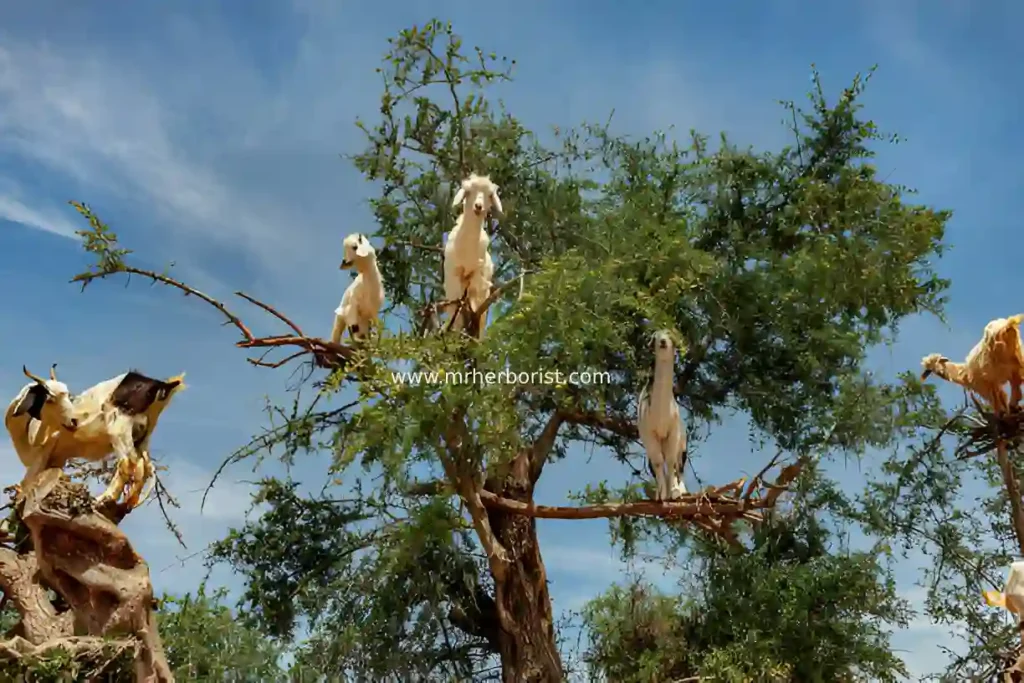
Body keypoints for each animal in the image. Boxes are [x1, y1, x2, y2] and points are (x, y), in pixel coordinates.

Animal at [442, 172, 501, 335]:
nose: (478, 206)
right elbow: (457, 310)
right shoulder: (454, 275)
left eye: (489, 195)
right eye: (468, 192)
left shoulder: (478, 277)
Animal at [638, 331, 688, 501]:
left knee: (679, 466)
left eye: (671, 336)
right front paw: (662, 494)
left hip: (682, 444)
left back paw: (682, 490)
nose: (663, 342)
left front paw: (674, 492)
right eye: (656, 337)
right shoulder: (649, 434)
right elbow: (659, 462)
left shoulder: (673, 433)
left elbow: (671, 461)